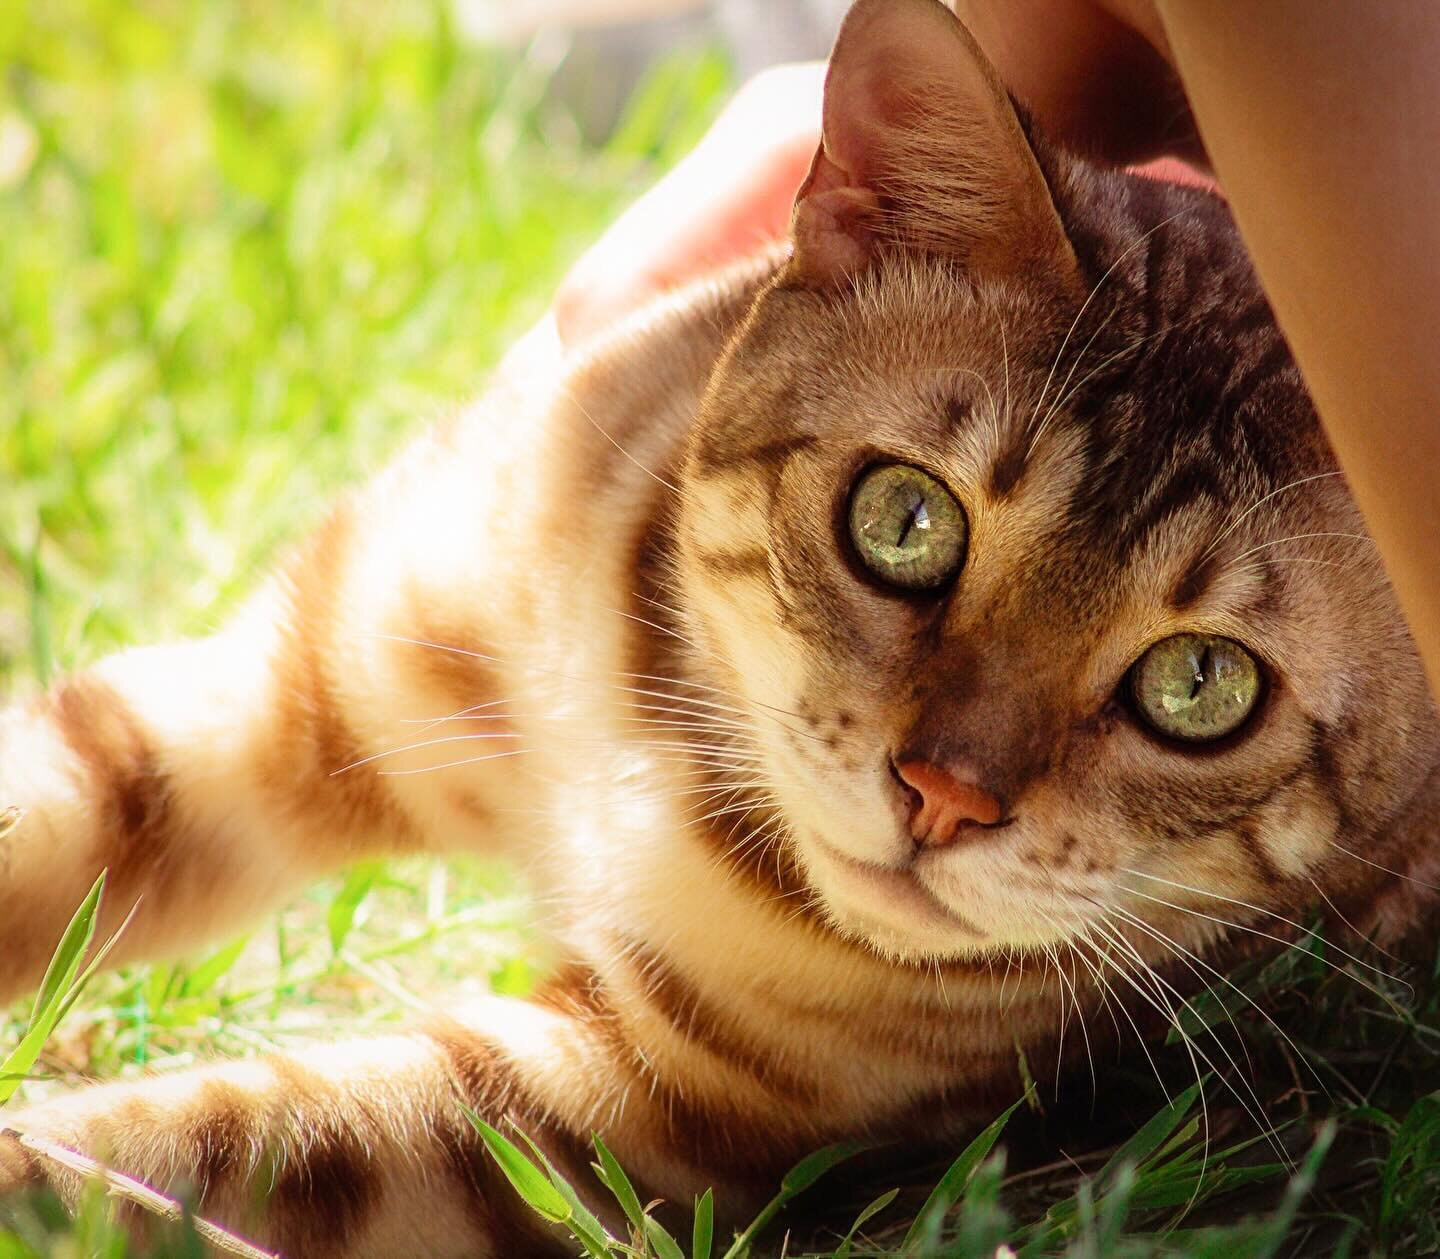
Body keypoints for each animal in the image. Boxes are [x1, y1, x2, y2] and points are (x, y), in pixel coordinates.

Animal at [2, 0, 1440, 1250]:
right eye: (904, 519)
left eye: (1200, 685)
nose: (943, 795)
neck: (654, 734)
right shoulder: (300, 675)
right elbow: (53, 805)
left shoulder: (622, 1102)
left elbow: (179, 1147)